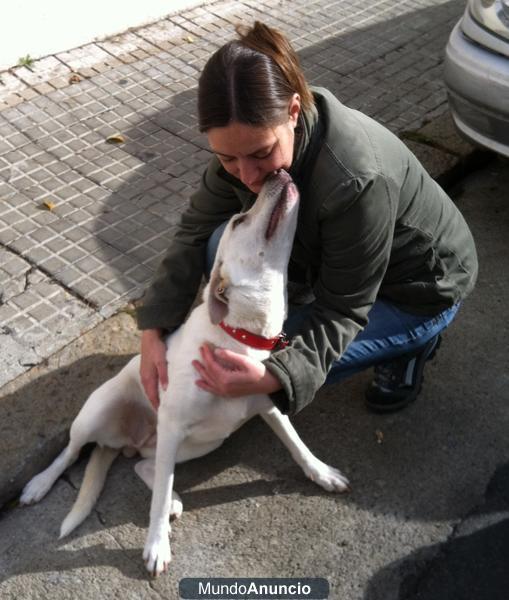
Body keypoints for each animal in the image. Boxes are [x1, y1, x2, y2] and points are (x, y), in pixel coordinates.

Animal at [19, 169, 348, 576]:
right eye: (239, 220)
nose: (277, 172)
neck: (238, 335)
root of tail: (124, 442)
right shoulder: (173, 423)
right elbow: (156, 501)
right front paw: (156, 545)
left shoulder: (270, 402)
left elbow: (295, 442)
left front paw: (321, 473)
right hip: (101, 413)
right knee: (73, 452)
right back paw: (39, 484)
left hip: (200, 443)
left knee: (146, 467)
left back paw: (170, 493)